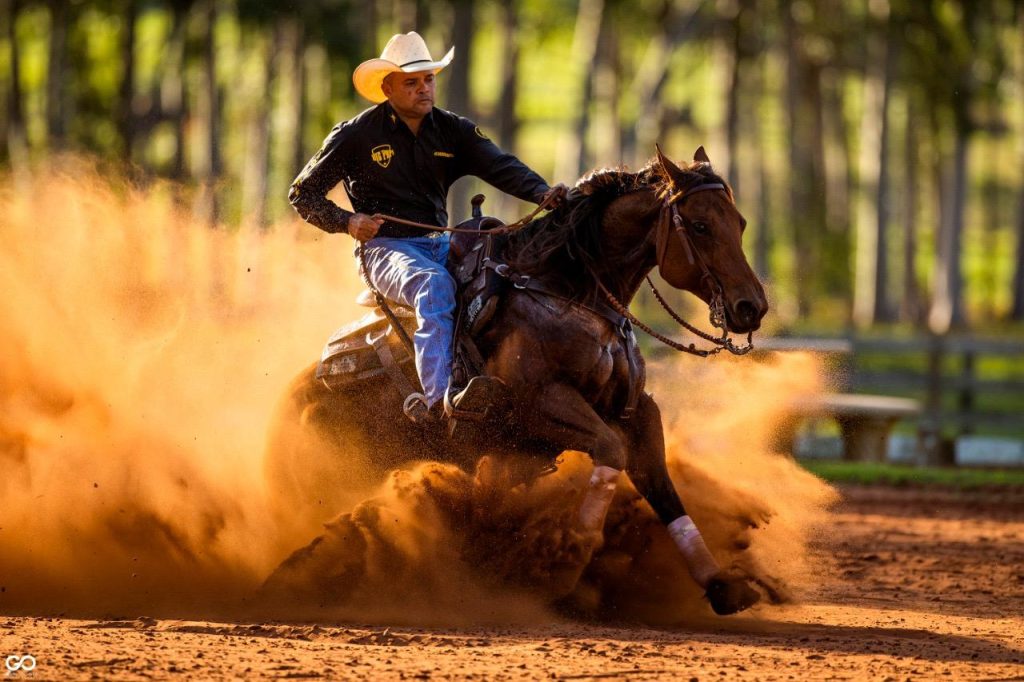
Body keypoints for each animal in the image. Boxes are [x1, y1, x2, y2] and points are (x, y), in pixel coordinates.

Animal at [264, 146, 770, 614]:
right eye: (700, 226)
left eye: (742, 222)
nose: (751, 307)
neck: (570, 292)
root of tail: (288, 401)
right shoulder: (537, 407)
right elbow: (611, 451)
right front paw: (569, 560)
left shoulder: (635, 411)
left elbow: (660, 484)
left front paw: (720, 583)